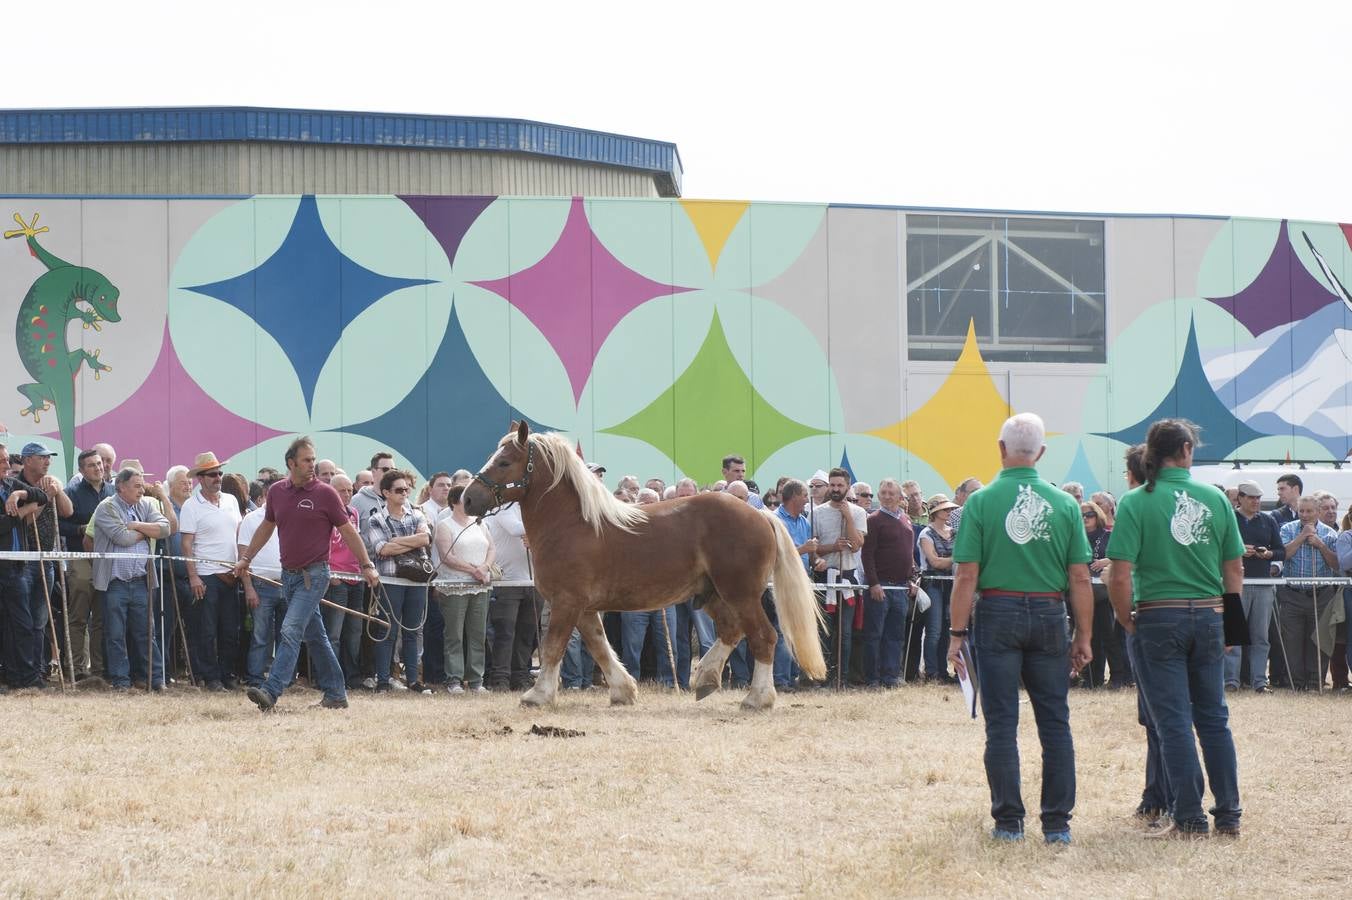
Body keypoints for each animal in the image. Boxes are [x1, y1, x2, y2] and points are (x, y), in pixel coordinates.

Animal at [462, 421, 822, 708]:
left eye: (504, 461)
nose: (466, 497)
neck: (571, 524)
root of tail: (761, 515)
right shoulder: (583, 607)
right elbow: (599, 646)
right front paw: (623, 691)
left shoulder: (567, 602)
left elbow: (553, 648)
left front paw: (537, 695)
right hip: (713, 595)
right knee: (732, 631)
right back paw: (706, 678)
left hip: (740, 594)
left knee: (763, 636)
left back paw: (756, 698)